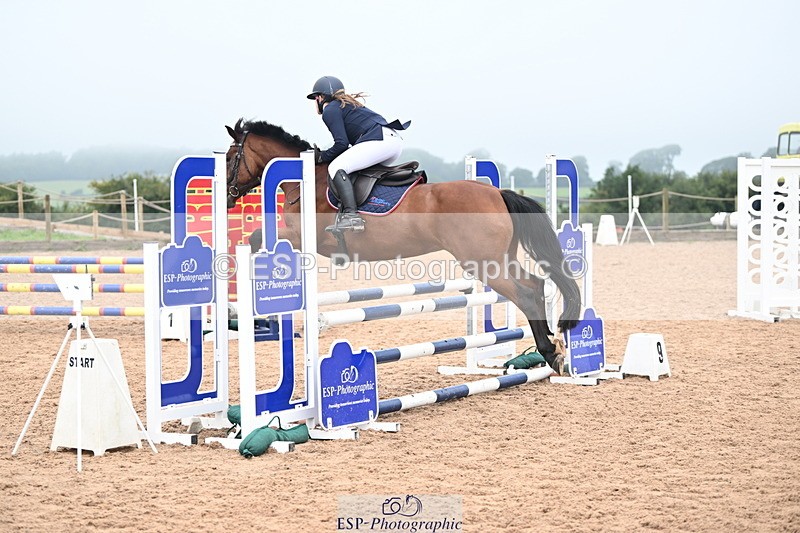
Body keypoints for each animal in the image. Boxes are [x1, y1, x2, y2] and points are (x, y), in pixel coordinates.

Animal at [225, 118, 581, 374]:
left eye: (230, 157)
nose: (228, 197)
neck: (304, 180)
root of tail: (498, 193)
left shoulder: (304, 237)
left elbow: (256, 238)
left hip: (483, 263)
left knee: (525, 292)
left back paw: (550, 352)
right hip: (498, 258)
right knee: (535, 284)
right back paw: (553, 349)